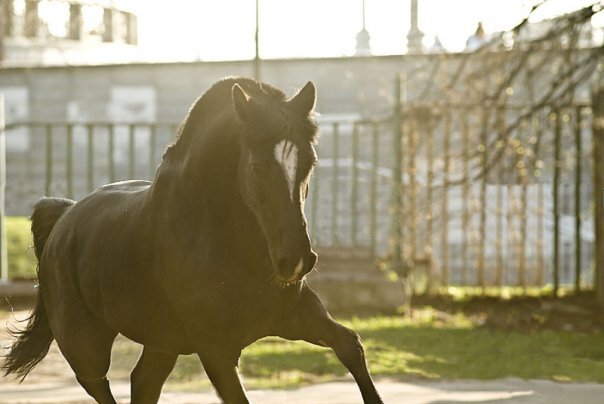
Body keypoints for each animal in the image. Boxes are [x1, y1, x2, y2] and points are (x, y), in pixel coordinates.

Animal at [1, 77, 382, 402]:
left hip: (162, 342)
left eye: (310, 163)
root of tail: (65, 215)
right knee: (102, 385)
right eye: (256, 167)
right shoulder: (216, 351)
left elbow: (351, 345)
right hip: (86, 348)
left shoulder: (297, 315)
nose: (297, 260)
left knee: (143, 382)